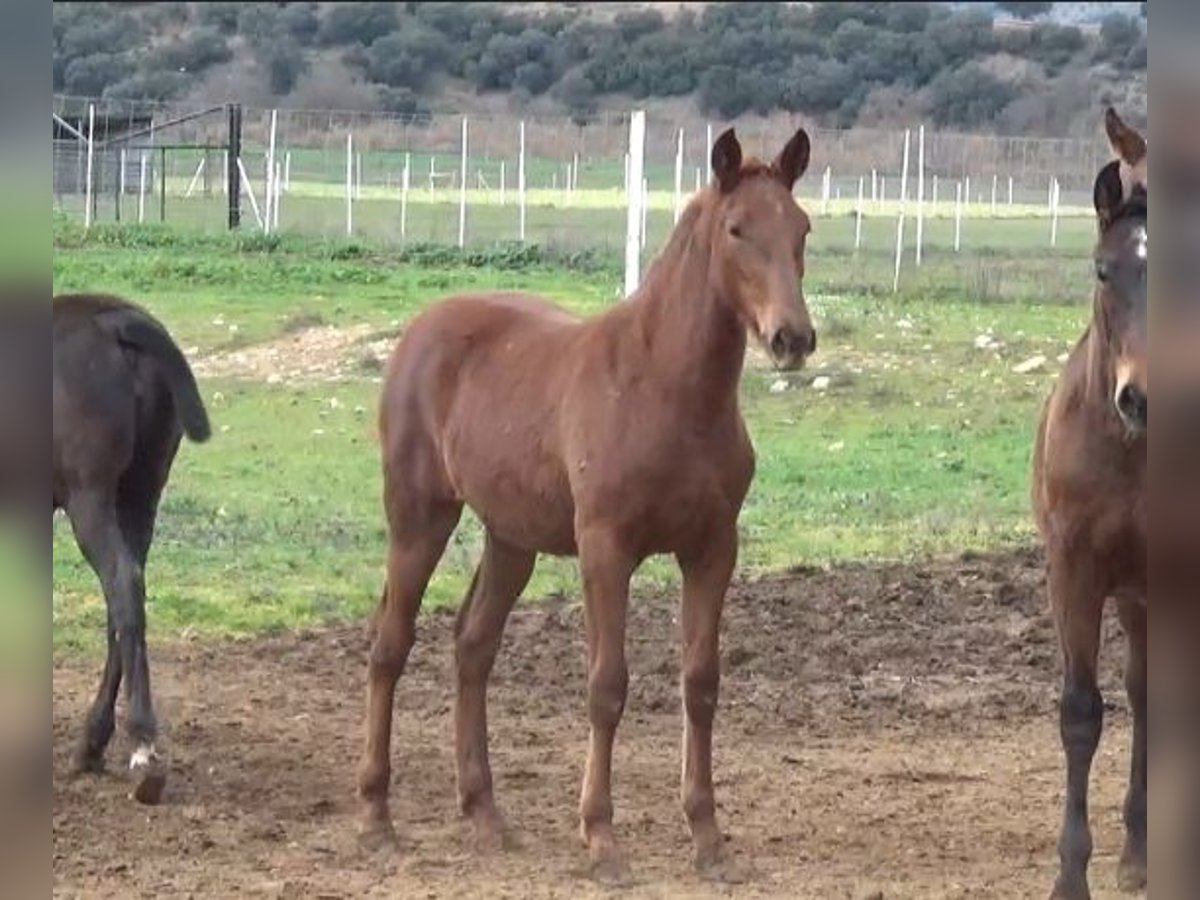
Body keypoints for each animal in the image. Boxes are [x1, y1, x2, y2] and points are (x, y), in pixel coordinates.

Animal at [52, 294, 211, 801]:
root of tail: (115, 320)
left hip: (90, 497)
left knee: (121, 584)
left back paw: (141, 744)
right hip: (140, 494)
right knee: (126, 603)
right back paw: (94, 742)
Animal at [355, 128, 816, 888]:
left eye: (803, 229)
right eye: (736, 229)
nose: (793, 338)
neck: (667, 389)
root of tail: (421, 328)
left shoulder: (713, 548)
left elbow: (701, 683)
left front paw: (708, 839)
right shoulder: (606, 548)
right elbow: (607, 685)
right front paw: (602, 839)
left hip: (510, 537)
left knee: (473, 646)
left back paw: (486, 814)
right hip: (419, 516)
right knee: (391, 645)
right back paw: (376, 817)